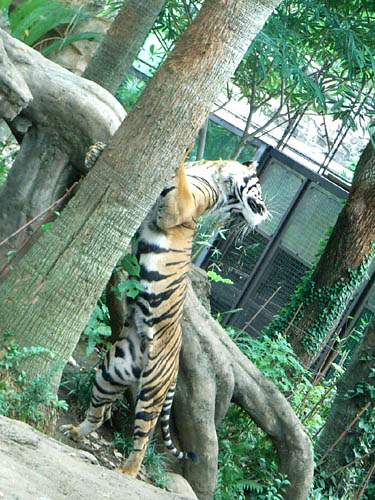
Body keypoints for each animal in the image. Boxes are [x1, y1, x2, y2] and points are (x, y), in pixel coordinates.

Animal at [61, 147, 268, 476]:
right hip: (110, 371)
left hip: (151, 392)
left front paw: (184, 151)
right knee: (99, 412)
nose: (264, 216)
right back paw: (75, 432)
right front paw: (95, 152)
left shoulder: (183, 205)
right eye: (260, 192)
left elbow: (180, 180)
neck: (219, 176)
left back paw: (127, 470)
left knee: (143, 438)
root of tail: (172, 371)